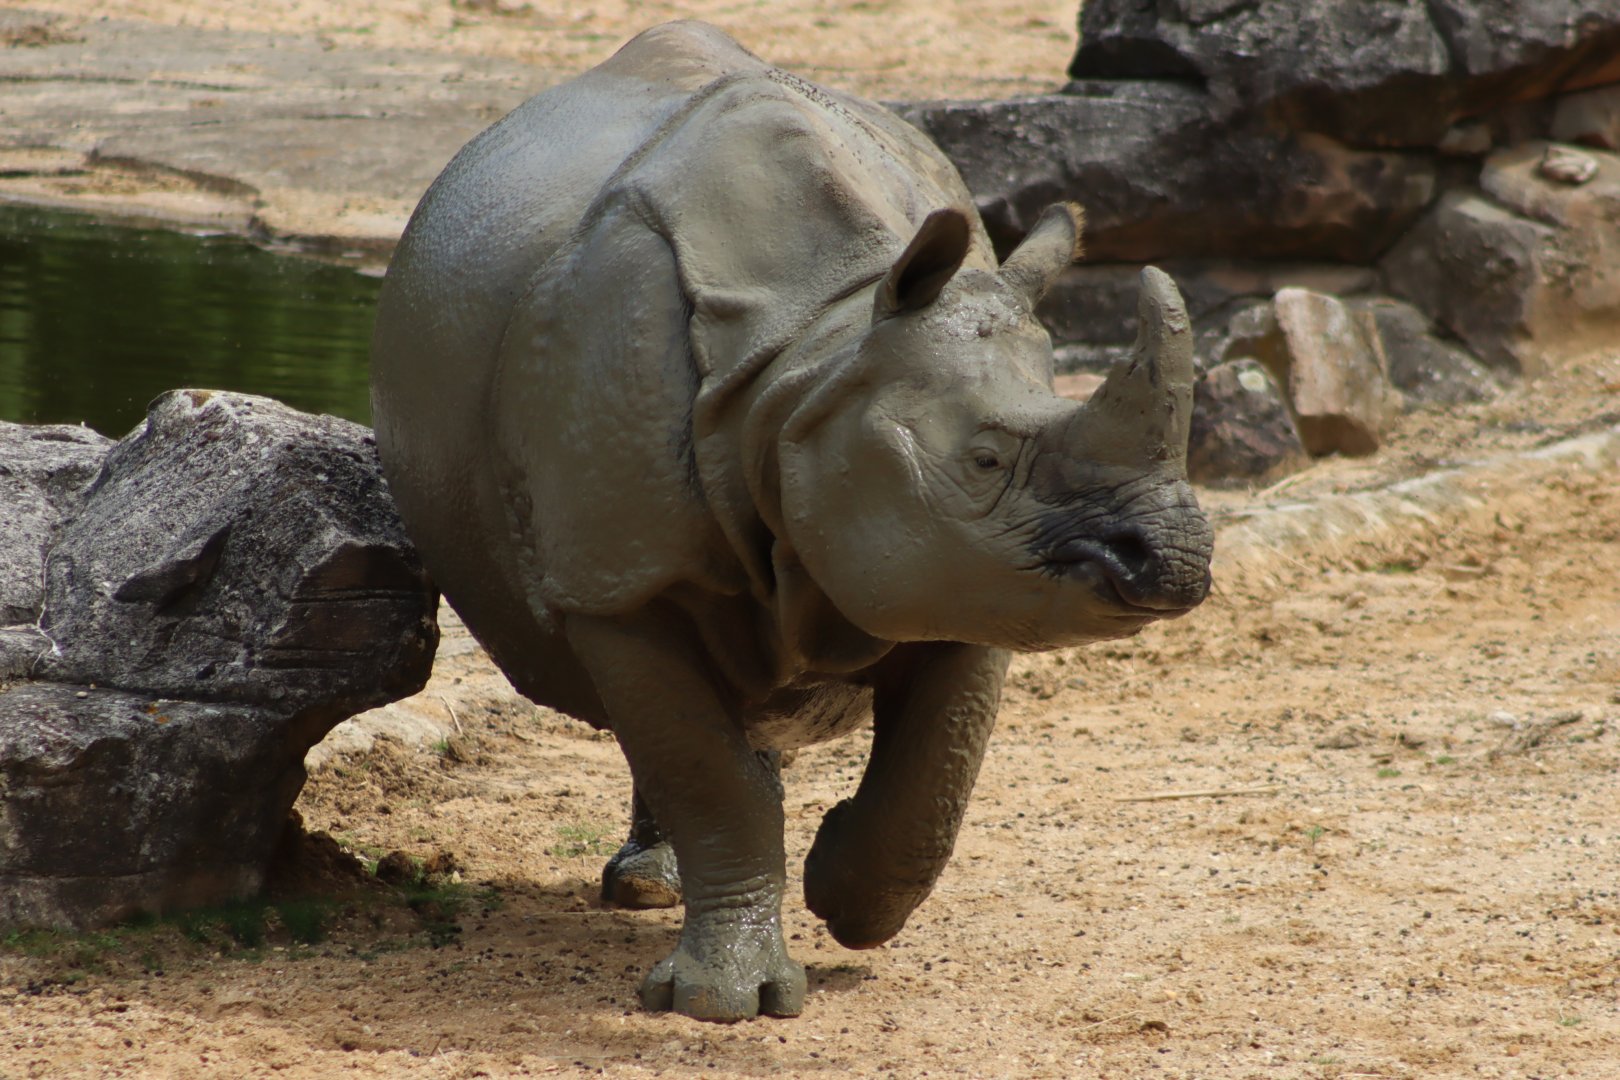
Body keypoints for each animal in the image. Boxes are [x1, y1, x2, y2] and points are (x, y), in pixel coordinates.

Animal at [371, 20, 1213, 1022]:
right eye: (983, 461)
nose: (1174, 560)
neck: (817, 352)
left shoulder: (965, 574)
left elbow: (935, 778)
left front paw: (846, 897)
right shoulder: (617, 577)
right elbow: (706, 771)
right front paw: (721, 1003)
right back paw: (653, 890)